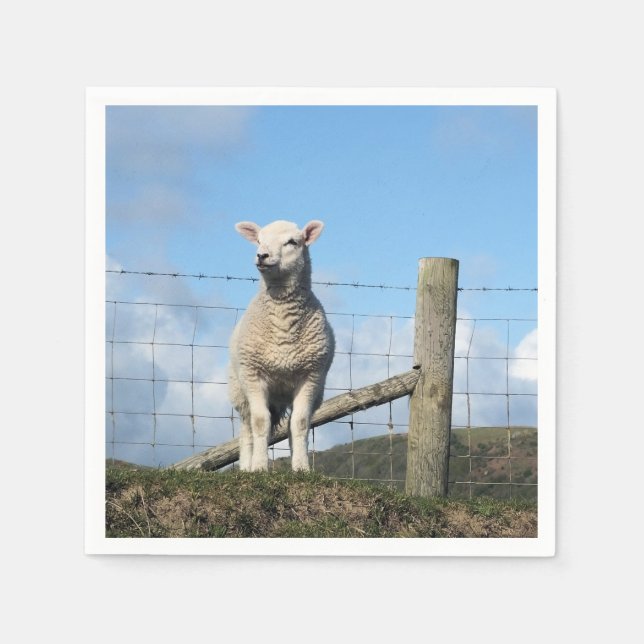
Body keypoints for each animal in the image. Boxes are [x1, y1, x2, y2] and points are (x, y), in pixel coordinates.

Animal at [228, 219, 335, 472]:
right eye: (258, 240)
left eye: (292, 242)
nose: (262, 255)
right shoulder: (253, 375)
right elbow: (260, 423)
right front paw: (259, 467)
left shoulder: (311, 376)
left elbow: (300, 423)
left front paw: (302, 468)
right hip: (240, 390)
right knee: (247, 429)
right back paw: (246, 467)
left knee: (290, 425)